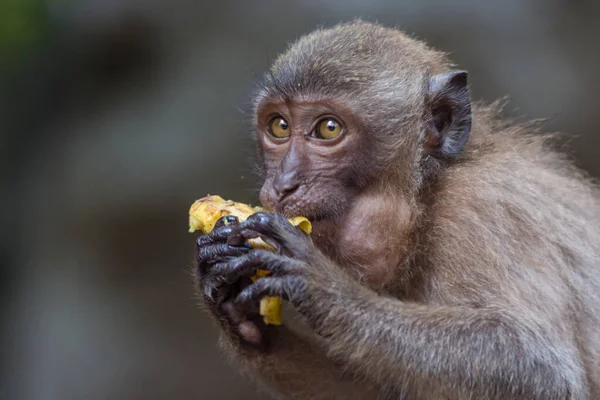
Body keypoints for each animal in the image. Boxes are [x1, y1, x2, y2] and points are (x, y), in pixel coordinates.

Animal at [193, 20, 600, 398]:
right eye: (279, 126)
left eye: (328, 129)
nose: (283, 184)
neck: (425, 197)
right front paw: (239, 314)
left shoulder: (481, 211)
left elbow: (540, 372)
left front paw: (321, 288)